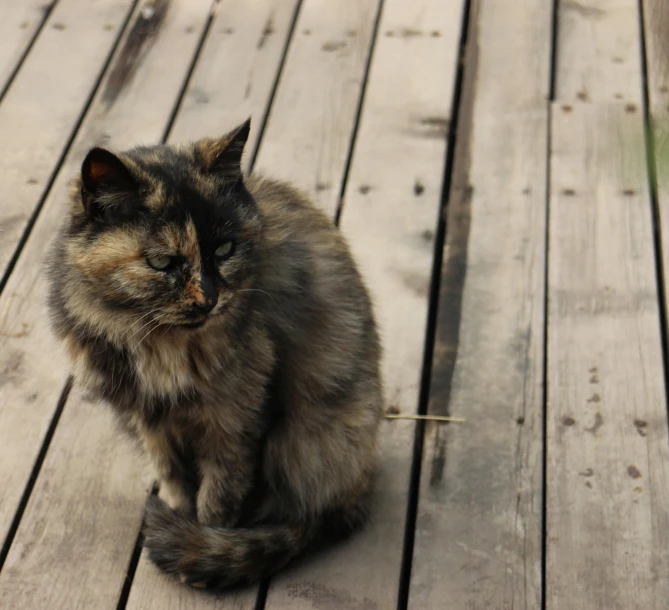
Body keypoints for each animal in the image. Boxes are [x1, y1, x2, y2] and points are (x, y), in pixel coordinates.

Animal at [47, 116, 380, 588]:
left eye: (225, 249)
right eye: (161, 263)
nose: (209, 298)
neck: (157, 346)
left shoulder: (235, 426)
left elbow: (218, 498)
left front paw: (200, 541)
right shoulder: (149, 420)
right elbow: (175, 481)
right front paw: (182, 519)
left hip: (307, 441)